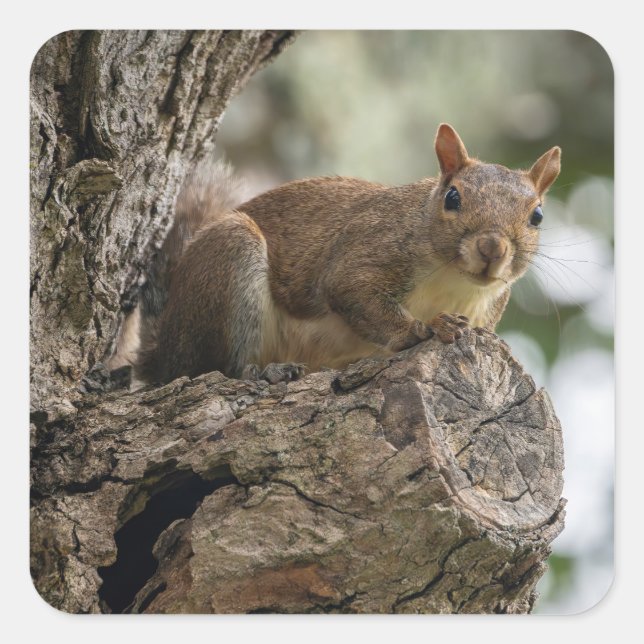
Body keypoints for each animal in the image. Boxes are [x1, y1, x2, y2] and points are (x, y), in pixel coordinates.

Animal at [112, 124, 560, 385]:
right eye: (453, 198)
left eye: (537, 215)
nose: (492, 248)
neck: (454, 283)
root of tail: (164, 346)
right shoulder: (368, 251)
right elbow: (354, 293)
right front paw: (425, 329)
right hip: (228, 262)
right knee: (216, 367)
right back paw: (265, 371)